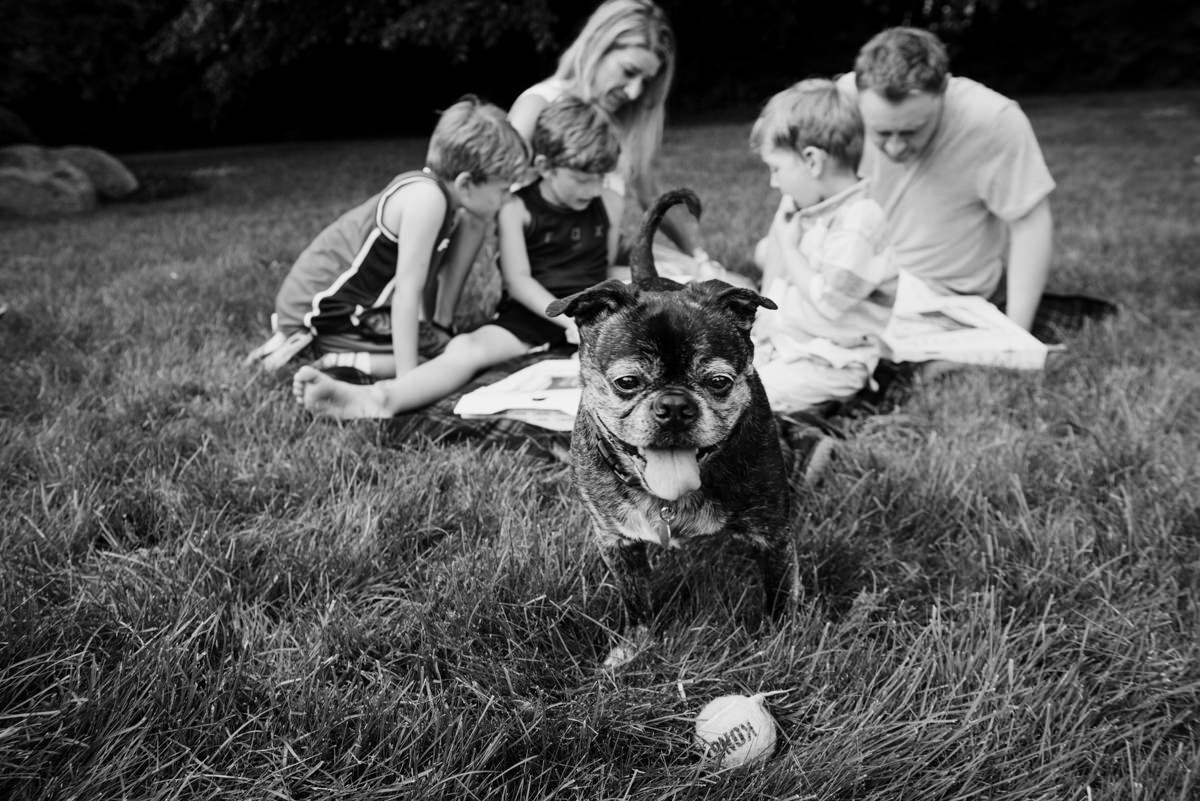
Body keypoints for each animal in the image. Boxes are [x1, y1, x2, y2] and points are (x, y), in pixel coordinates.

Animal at [547, 189, 792, 671]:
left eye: (719, 382)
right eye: (627, 382)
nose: (675, 406)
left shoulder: (772, 535)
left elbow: (776, 596)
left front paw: (775, 645)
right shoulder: (616, 542)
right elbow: (635, 601)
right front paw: (634, 647)